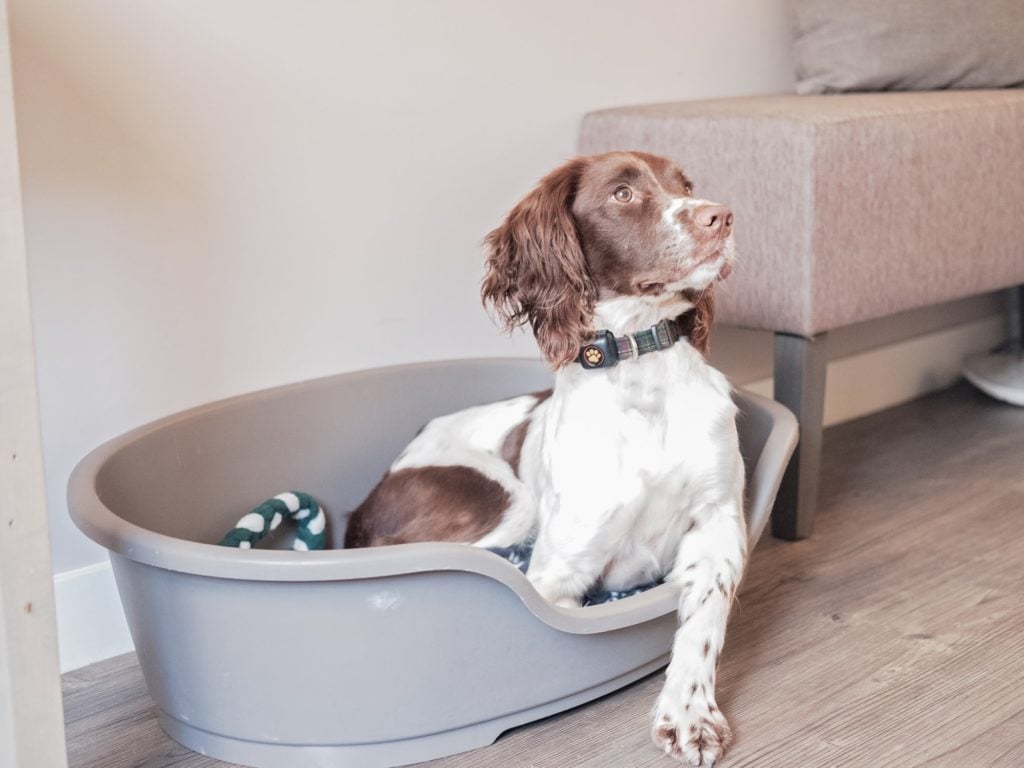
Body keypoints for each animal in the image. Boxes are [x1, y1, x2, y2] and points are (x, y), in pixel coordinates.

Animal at [344, 151, 745, 768]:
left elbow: (703, 621)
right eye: (623, 193)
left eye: (686, 185)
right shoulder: (560, 577)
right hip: (504, 504)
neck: (642, 372)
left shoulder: (719, 524)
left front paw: (689, 715)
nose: (720, 217)